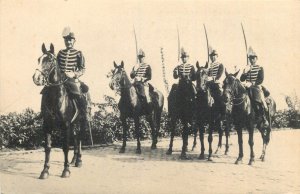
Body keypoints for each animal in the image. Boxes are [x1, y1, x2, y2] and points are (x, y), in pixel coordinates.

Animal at [32, 43, 84, 178]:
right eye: (39, 59)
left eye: (50, 60)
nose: (36, 78)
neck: (55, 96)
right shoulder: (47, 125)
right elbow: (48, 147)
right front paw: (45, 170)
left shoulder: (65, 125)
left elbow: (65, 147)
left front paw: (66, 170)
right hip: (73, 124)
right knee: (75, 138)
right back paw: (73, 160)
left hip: (79, 121)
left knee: (79, 138)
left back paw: (79, 160)